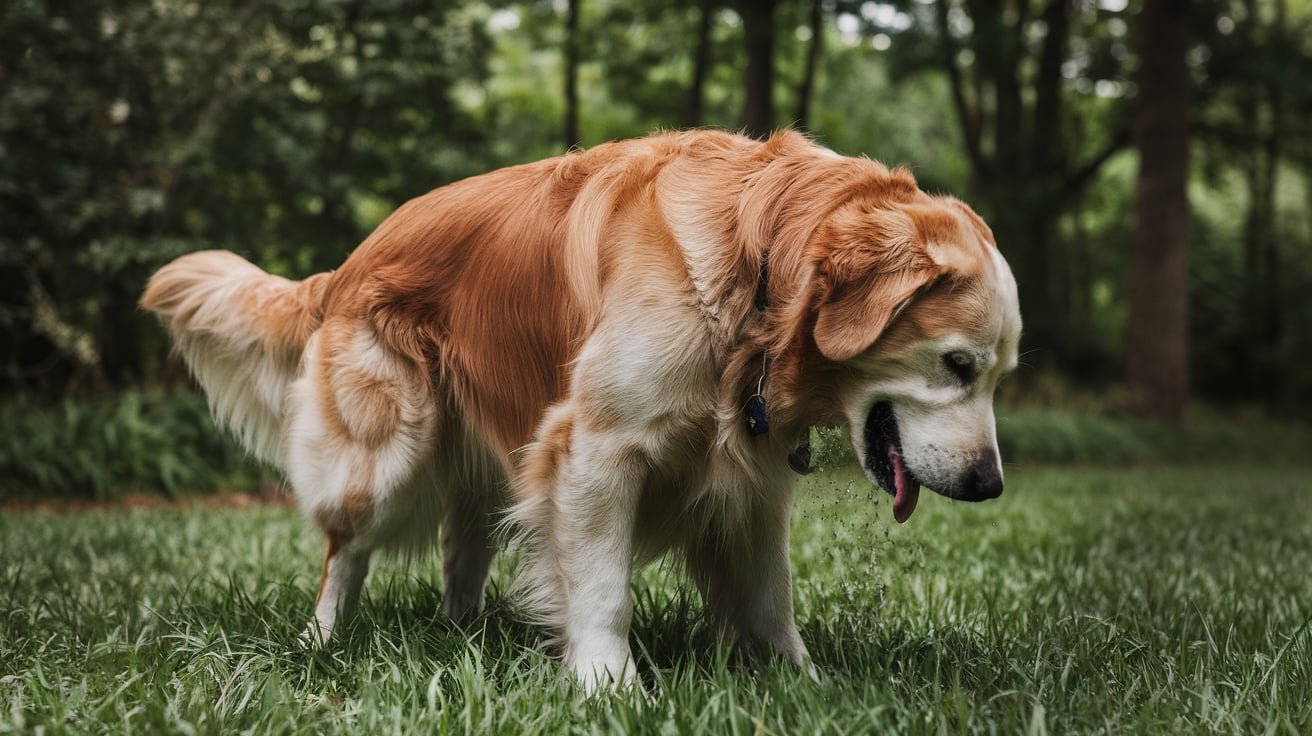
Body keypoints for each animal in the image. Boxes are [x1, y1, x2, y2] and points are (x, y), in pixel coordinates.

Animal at [146, 130, 1023, 687]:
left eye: (999, 377)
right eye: (957, 364)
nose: (990, 486)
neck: (755, 263)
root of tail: (354, 257)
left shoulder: (756, 482)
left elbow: (770, 595)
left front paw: (805, 683)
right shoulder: (596, 451)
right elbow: (604, 589)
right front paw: (609, 688)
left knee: (463, 547)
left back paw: (465, 633)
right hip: (386, 452)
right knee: (346, 551)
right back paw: (321, 642)